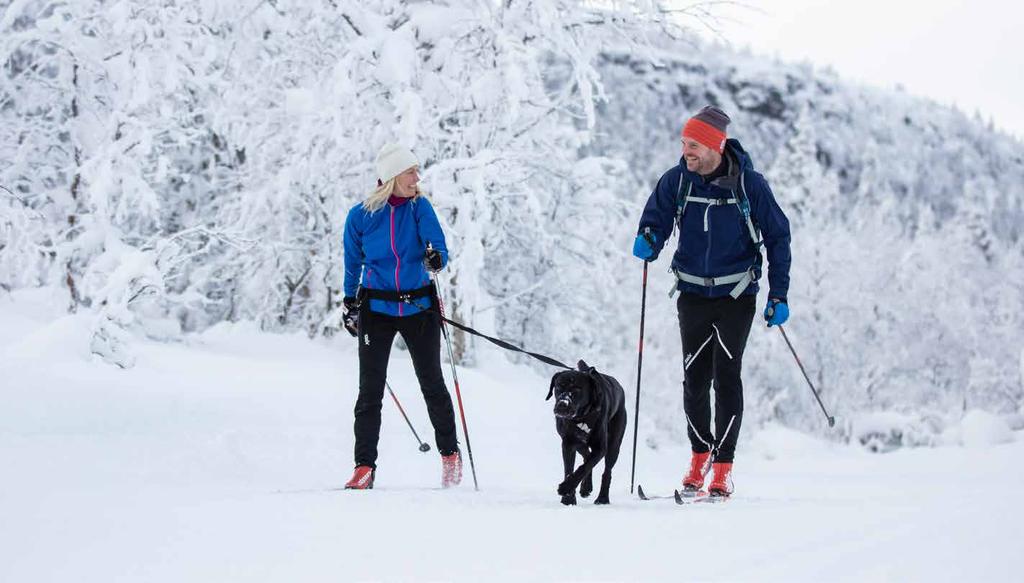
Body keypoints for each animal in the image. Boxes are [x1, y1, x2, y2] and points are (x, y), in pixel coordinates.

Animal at [548, 356, 626, 502]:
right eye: (558, 386)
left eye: (577, 389)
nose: (562, 405)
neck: (582, 418)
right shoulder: (568, 443)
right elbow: (570, 469)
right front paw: (568, 499)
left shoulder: (600, 447)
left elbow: (585, 467)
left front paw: (566, 488)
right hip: (580, 443)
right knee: (586, 455)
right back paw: (586, 488)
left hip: (614, 444)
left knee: (606, 471)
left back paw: (602, 498)